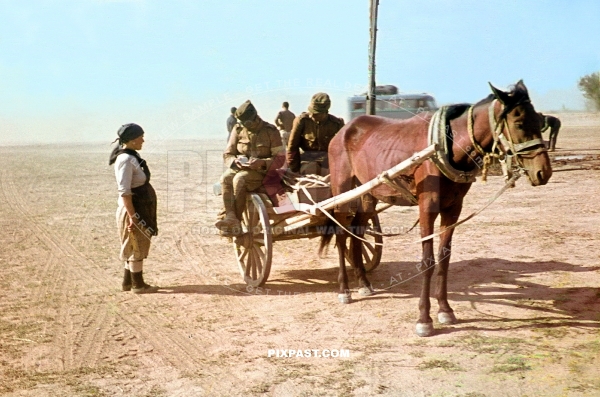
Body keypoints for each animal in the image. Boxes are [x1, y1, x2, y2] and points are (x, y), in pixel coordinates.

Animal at [322, 79, 552, 336]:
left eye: (539, 121)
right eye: (519, 123)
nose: (543, 172)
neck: (446, 147)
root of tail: (344, 130)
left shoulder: (453, 209)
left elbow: (444, 258)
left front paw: (445, 310)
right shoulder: (428, 208)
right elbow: (428, 261)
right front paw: (424, 318)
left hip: (368, 194)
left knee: (358, 230)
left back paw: (363, 283)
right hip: (342, 189)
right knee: (341, 233)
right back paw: (344, 290)